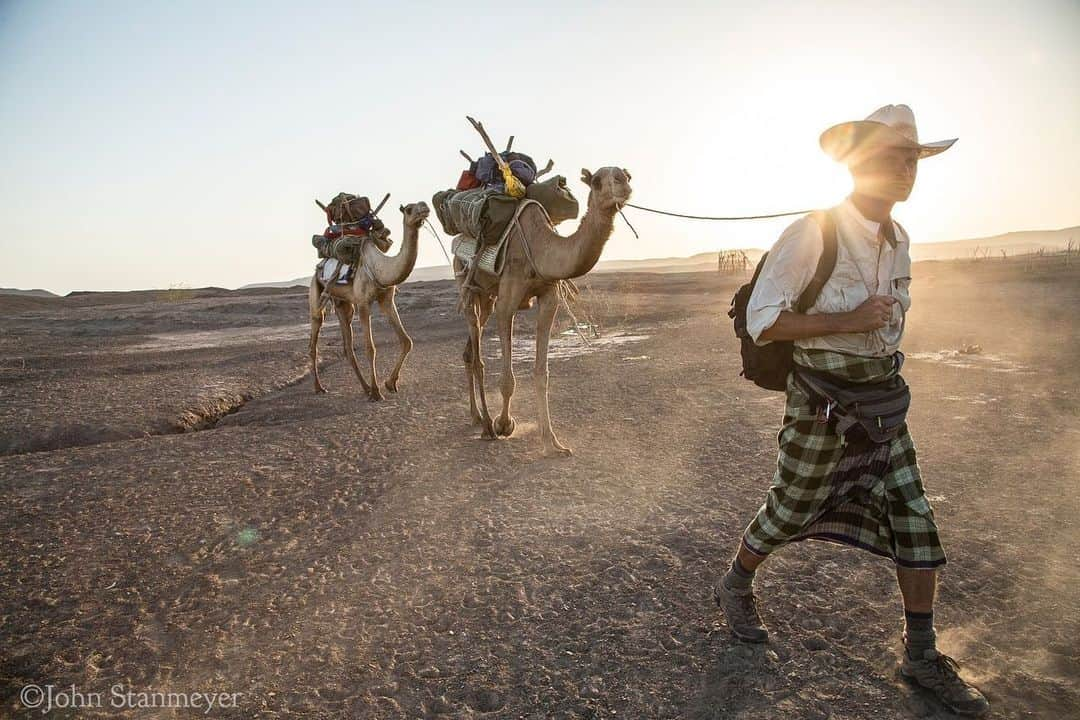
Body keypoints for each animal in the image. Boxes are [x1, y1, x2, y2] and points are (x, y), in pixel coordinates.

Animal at [308, 201, 429, 399]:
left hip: (343, 304)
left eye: (422, 204)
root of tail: (320, 266)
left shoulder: (386, 299)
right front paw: (377, 392)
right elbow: (370, 348)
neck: (381, 268)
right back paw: (319, 387)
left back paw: (364, 388)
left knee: (348, 347)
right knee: (314, 341)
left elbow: (406, 341)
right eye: (409, 209)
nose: (425, 207)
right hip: (316, 294)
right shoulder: (363, 303)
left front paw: (390, 383)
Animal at [455, 167, 630, 455]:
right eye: (596, 181)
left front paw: (552, 442)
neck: (541, 249)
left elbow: (542, 373)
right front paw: (504, 424)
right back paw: (487, 425)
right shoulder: (507, 302)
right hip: (466, 282)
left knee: (470, 351)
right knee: (477, 351)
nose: (623, 183)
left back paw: (476, 416)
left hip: (487, 295)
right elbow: (508, 378)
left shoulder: (549, 297)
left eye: (626, 174)